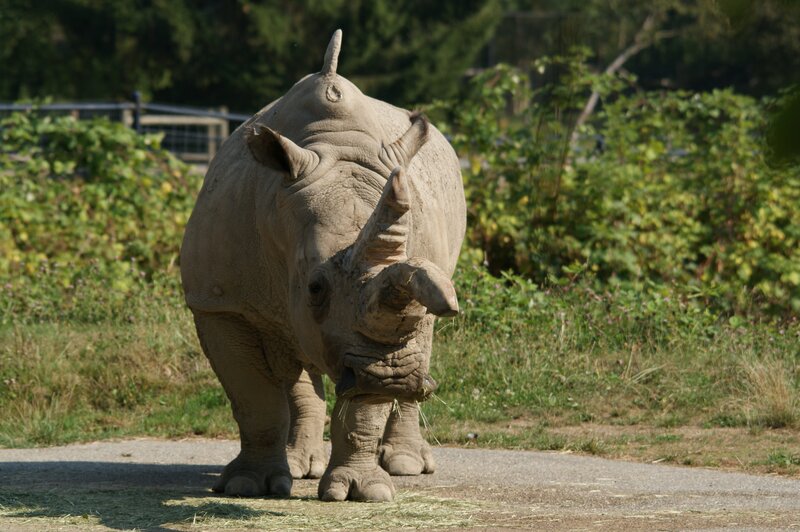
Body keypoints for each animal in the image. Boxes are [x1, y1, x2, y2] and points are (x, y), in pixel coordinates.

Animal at [180, 30, 465, 502]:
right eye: (315, 287)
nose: (392, 378)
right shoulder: (220, 303)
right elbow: (254, 397)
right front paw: (247, 486)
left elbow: (362, 409)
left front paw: (362, 492)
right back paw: (299, 467)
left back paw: (405, 466)